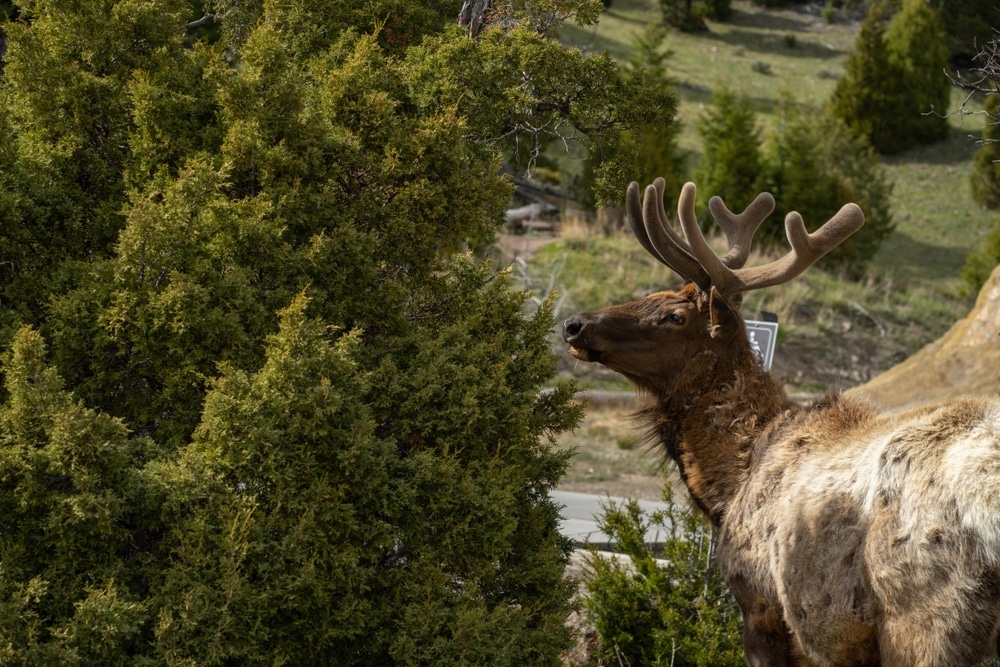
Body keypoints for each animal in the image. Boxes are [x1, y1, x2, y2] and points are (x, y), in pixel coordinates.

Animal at [560, 180, 1000, 664]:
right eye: (654, 293)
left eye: (675, 316)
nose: (574, 324)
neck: (726, 486)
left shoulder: (761, 604)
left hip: (923, 617)